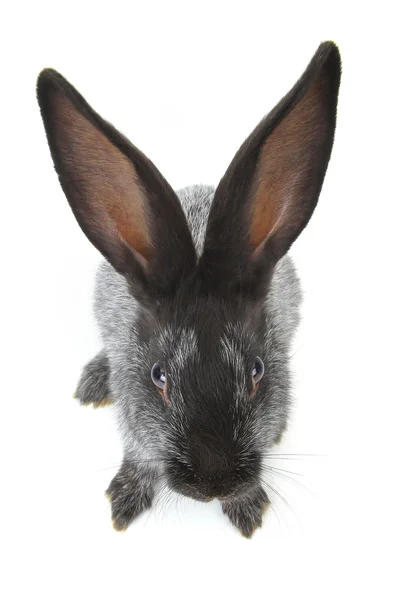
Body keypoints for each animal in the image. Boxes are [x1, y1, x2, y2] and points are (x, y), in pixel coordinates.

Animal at [36, 42, 340, 540]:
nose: (214, 483)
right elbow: (139, 454)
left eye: (257, 371)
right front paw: (124, 501)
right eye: (158, 376)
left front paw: (247, 507)